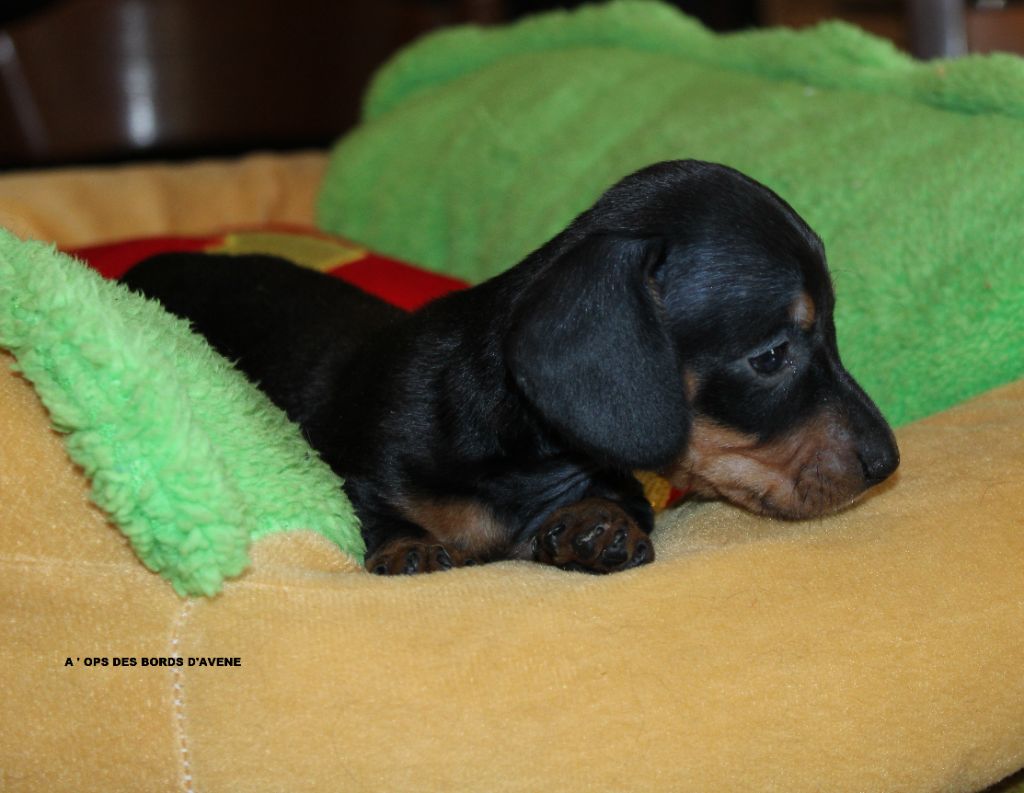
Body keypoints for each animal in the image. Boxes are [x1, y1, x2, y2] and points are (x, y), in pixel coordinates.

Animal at [121, 160, 899, 576]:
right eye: (771, 356)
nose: (888, 464)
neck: (519, 455)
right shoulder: (358, 473)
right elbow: (374, 513)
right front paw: (409, 547)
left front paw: (597, 522)